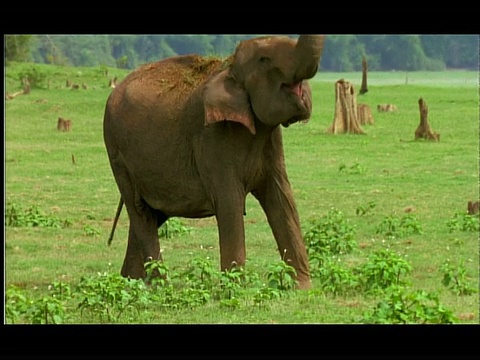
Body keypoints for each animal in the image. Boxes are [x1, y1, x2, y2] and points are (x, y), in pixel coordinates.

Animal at [103, 33, 324, 286]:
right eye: (264, 60)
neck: (229, 67)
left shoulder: (271, 143)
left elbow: (282, 200)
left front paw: (302, 288)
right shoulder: (212, 139)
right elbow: (229, 203)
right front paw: (235, 288)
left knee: (150, 214)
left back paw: (131, 282)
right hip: (117, 153)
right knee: (140, 212)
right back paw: (160, 286)